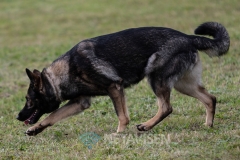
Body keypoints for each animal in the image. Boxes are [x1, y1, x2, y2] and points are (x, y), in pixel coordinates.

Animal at [15, 21, 230, 136]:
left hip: (156, 79)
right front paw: (35, 129)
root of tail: (188, 37)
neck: (66, 71)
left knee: (166, 107)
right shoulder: (80, 102)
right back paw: (208, 125)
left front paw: (118, 134)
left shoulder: (114, 88)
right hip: (182, 85)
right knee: (210, 98)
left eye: (29, 100)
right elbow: (52, 116)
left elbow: (122, 116)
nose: (17, 116)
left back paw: (146, 125)